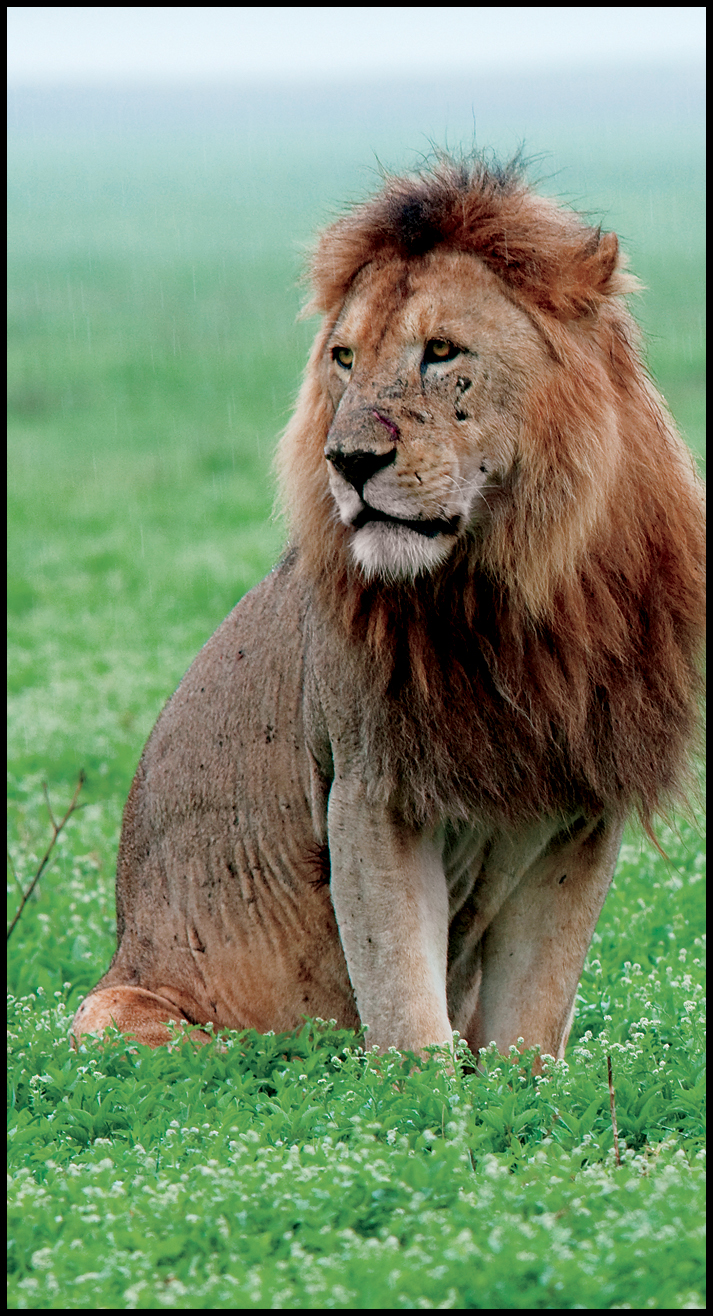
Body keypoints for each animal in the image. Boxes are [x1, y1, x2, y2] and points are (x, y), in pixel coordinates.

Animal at [69, 153, 705, 1058]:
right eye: (342, 357)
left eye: (439, 351)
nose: (347, 460)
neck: (510, 594)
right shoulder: (371, 789)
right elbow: (406, 1011)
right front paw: (422, 1096)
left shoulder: (580, 810)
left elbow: (532, 1023)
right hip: (118, 1014)